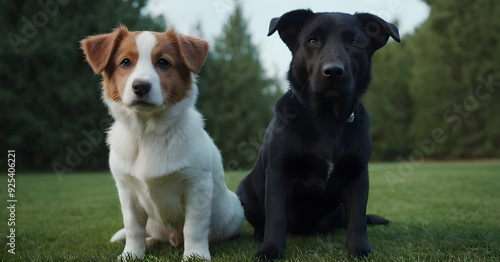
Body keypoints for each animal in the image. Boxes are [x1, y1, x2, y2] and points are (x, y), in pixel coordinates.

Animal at [80, 26, 244, 260]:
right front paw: (131, 254)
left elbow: (194, 226)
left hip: (235, 210)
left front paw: (195, 255)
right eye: (125, 62)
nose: (140, 87)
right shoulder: (126, 190)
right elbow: (133, 227)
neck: (148, 133)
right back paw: (149, 243)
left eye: (164, 63)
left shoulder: (198, 186)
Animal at [235, 9, 402, 260]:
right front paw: (270, 250)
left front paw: (360, 249)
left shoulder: (358, 174)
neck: (326, 119)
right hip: (243, 190)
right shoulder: (278, 172)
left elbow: (358, 219)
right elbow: (276, 217)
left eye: (354, 43)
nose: (333, 72)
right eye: (312, 41)